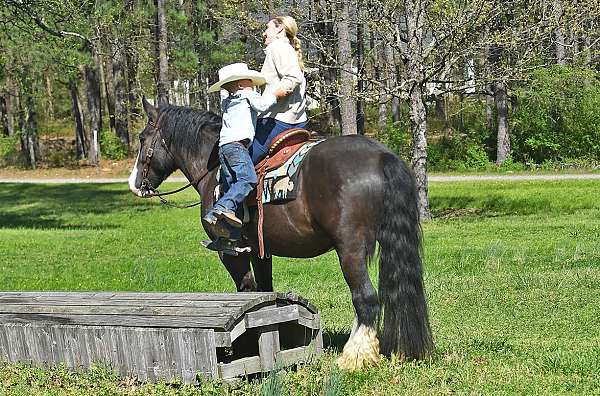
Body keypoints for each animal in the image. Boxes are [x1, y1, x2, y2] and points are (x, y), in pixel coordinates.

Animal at [130, 100, 432, 372]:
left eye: (143, 138)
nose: (135, 184)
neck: (213, 168)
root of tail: (382, 156)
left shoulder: (230, 252)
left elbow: (246, 290)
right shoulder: (261, 250)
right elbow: (264, 294)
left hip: (350, 250)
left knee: (366, 299)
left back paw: (353, 357)